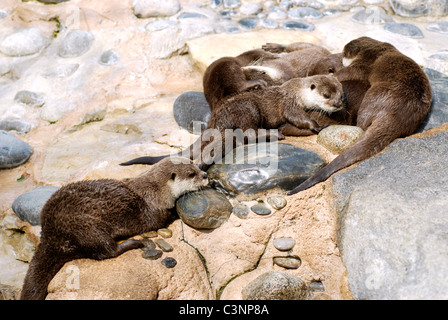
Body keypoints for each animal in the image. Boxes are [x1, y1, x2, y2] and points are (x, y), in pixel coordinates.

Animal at [19, 159, 208, 302]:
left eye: (196, 165)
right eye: (191, 173)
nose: (205, 175)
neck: (155, 190)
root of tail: (50, 235)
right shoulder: (151, 210)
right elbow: (158, 220)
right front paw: (175, 212)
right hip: (87, 226)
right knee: (106, 251)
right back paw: (132, 243)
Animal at [121, 74, 344, 169]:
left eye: (341, 95)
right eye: (326, 95)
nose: (337, 104)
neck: (297, 91)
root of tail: (216, 121)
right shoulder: (290, 103)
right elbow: (298, 118)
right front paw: (317, 125)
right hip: (248, 109)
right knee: (247, 133)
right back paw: (274, 134)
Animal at [288, 36, 432, 194]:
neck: (374, 49)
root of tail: (397, 115)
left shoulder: (363, 64)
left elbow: (345, 73)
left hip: (372, 97)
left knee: (362, 123)